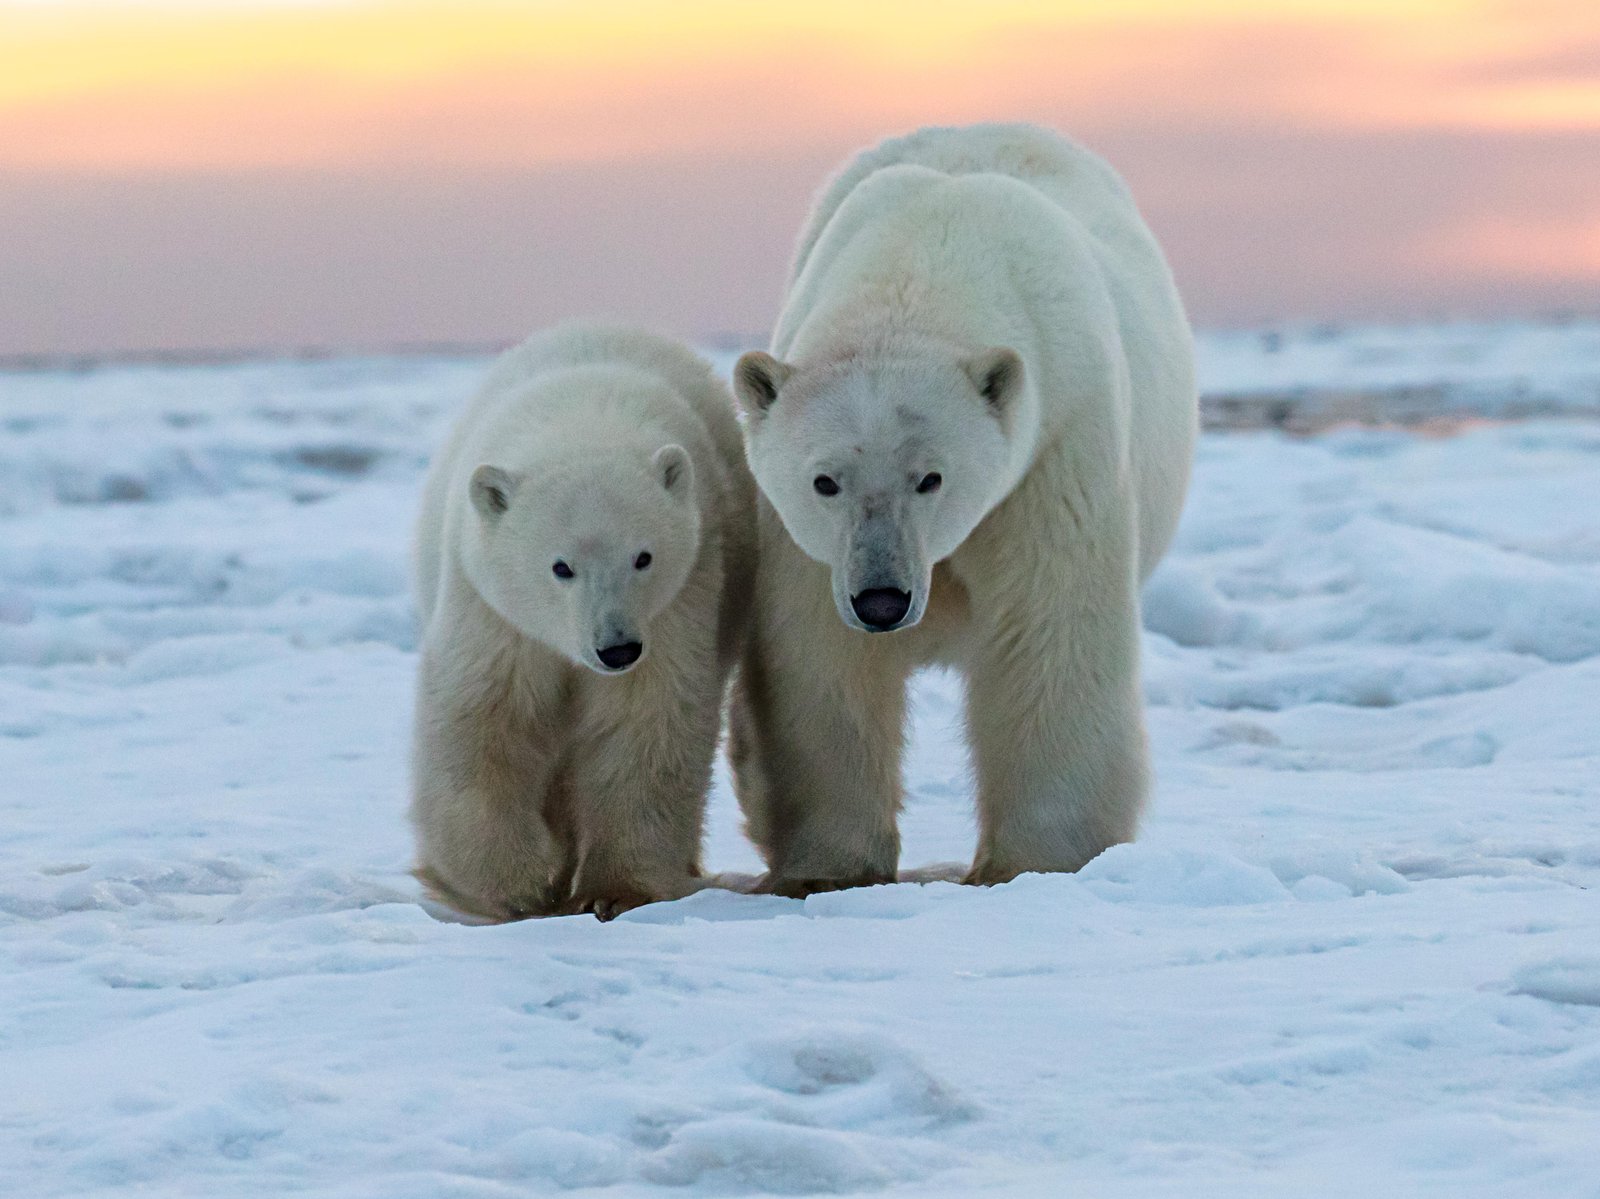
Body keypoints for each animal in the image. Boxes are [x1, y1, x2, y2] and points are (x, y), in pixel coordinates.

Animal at [410, 324, 756, 920]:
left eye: (643, 557)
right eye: (561, 566)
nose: (616, 648)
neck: (582, 416)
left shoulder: (681, 597)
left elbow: (645, 722)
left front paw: (615, 889)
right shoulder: (493, 611)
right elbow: (484, 720)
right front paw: (520, 883)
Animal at [728, 123, 1197, 897]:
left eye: (931, 478)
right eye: (825, 481)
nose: (882, 599)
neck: (926, 250)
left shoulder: (1054, 449)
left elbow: (1049, 630)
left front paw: (1036, 858)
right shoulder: (805, 545)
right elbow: (820, 657)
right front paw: (828, 867)